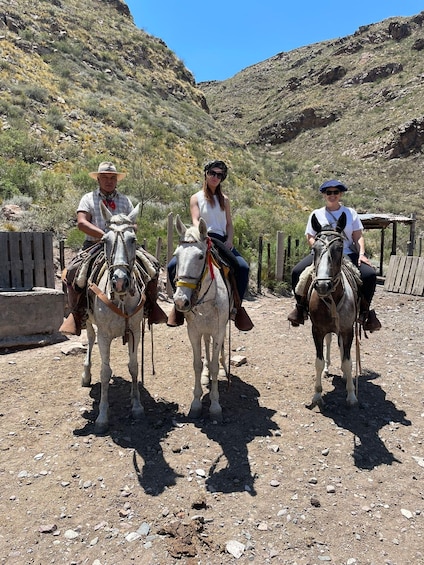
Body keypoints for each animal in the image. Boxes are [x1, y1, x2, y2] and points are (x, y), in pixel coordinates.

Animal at [82, 203, 147, 432]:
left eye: (133, 239)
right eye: (105, 240)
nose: (120, 281)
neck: (120, 298)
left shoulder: (135, 331)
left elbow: (133, 366)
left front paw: (137, 406)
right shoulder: (104, 335)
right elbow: (105, 372)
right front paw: (102, 416)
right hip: (88, 321)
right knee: (90, 339)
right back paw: (86, 374)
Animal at [172, 214, 232, 420]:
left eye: (199, 256)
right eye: (176, 255)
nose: (180, 301)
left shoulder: (219, 331)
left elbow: (214, 365)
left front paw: (215, 405)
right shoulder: (194, 332)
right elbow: (197, 364)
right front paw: (196, 403)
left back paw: (223, 367)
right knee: (207, 344)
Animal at [308, 212, 362, 406]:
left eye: (339, 248)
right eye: (314, 250)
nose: (323, 285)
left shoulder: (347, 330)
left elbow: (348, 362)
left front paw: (351, 395)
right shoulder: (317, 330)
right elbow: (318, 361)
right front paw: (317, 395)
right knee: (330, 341)